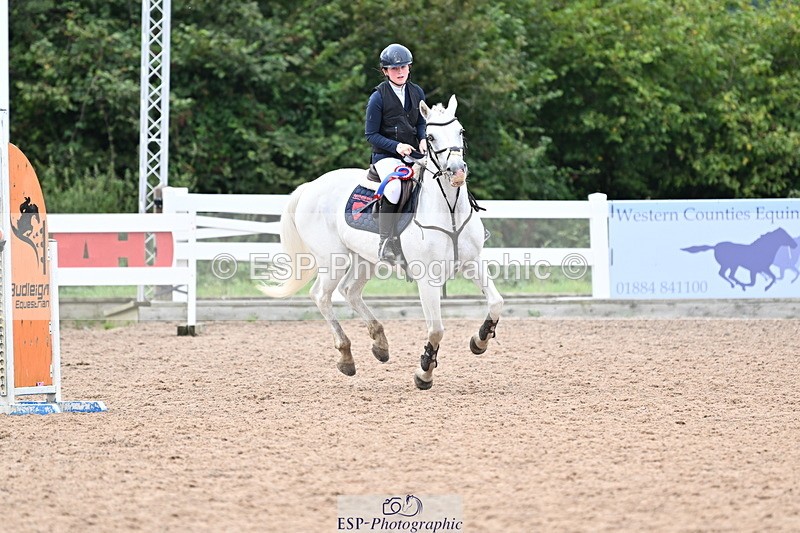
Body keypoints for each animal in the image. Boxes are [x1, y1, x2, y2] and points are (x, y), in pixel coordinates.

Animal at [258, 95, 503, 389]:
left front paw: (480, 340)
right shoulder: (427, 277)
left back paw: (380, 343)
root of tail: (311, 186)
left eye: (461, 131)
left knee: (350, 291)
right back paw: (346, 357)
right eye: (431, 137)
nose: (456, 172)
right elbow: (436, 329)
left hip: (365, 259)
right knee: (321, 295)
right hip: (334, 259)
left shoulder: (472, 262)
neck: (450, 209)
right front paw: (424, 372)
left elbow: (496, 303)